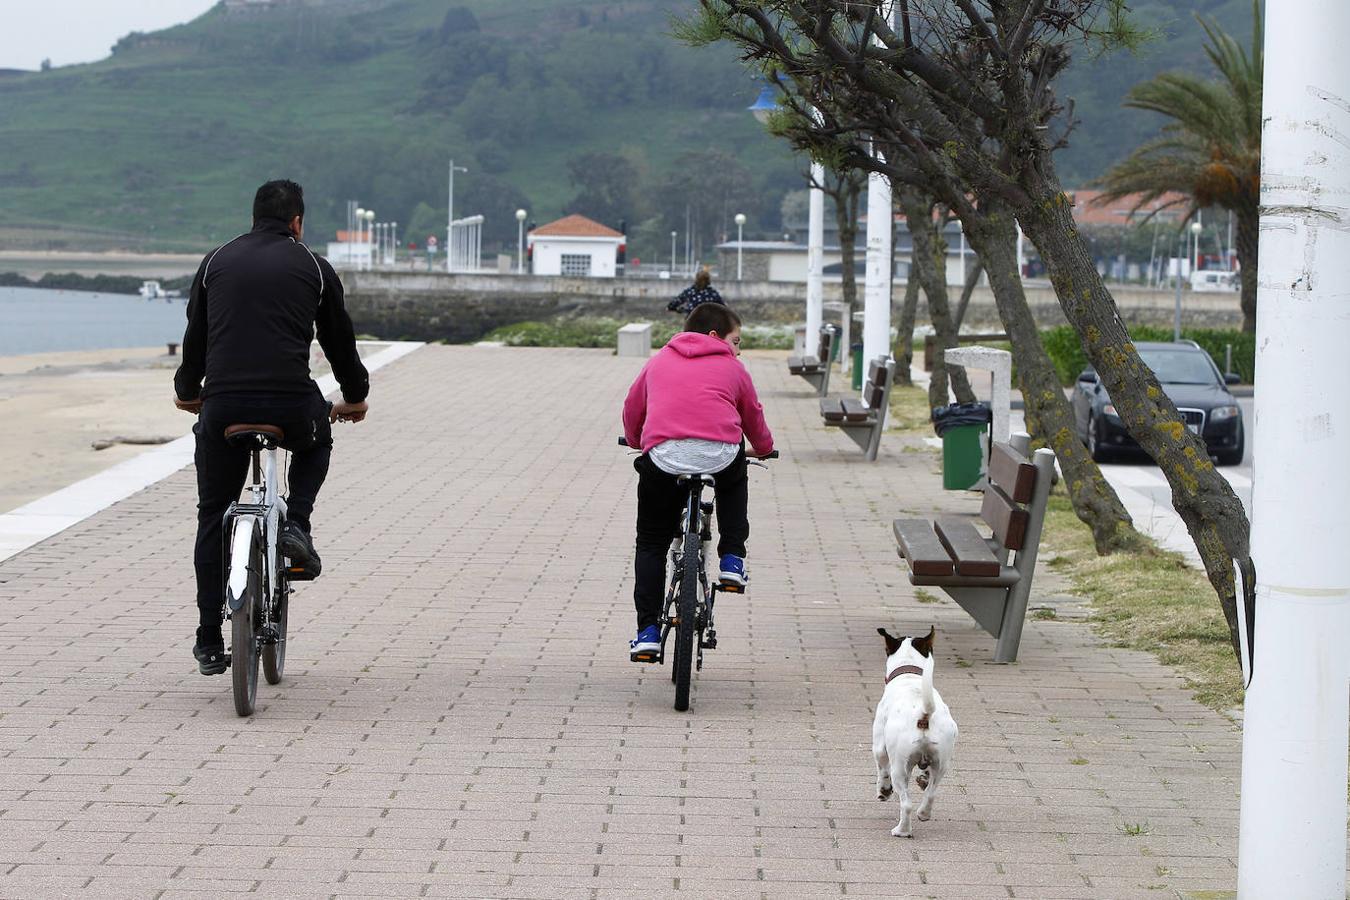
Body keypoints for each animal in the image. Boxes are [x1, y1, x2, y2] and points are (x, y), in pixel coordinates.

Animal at [874, 626, 961, 836]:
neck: (909, 675)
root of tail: (924, 713)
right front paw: (923, 778)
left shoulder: (879, 746)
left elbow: (882, 769)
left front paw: (883, 791)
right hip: (942, 763)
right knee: (931, 793)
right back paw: (924, 814)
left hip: (900, 767)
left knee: (906, 804)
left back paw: (902, 830)